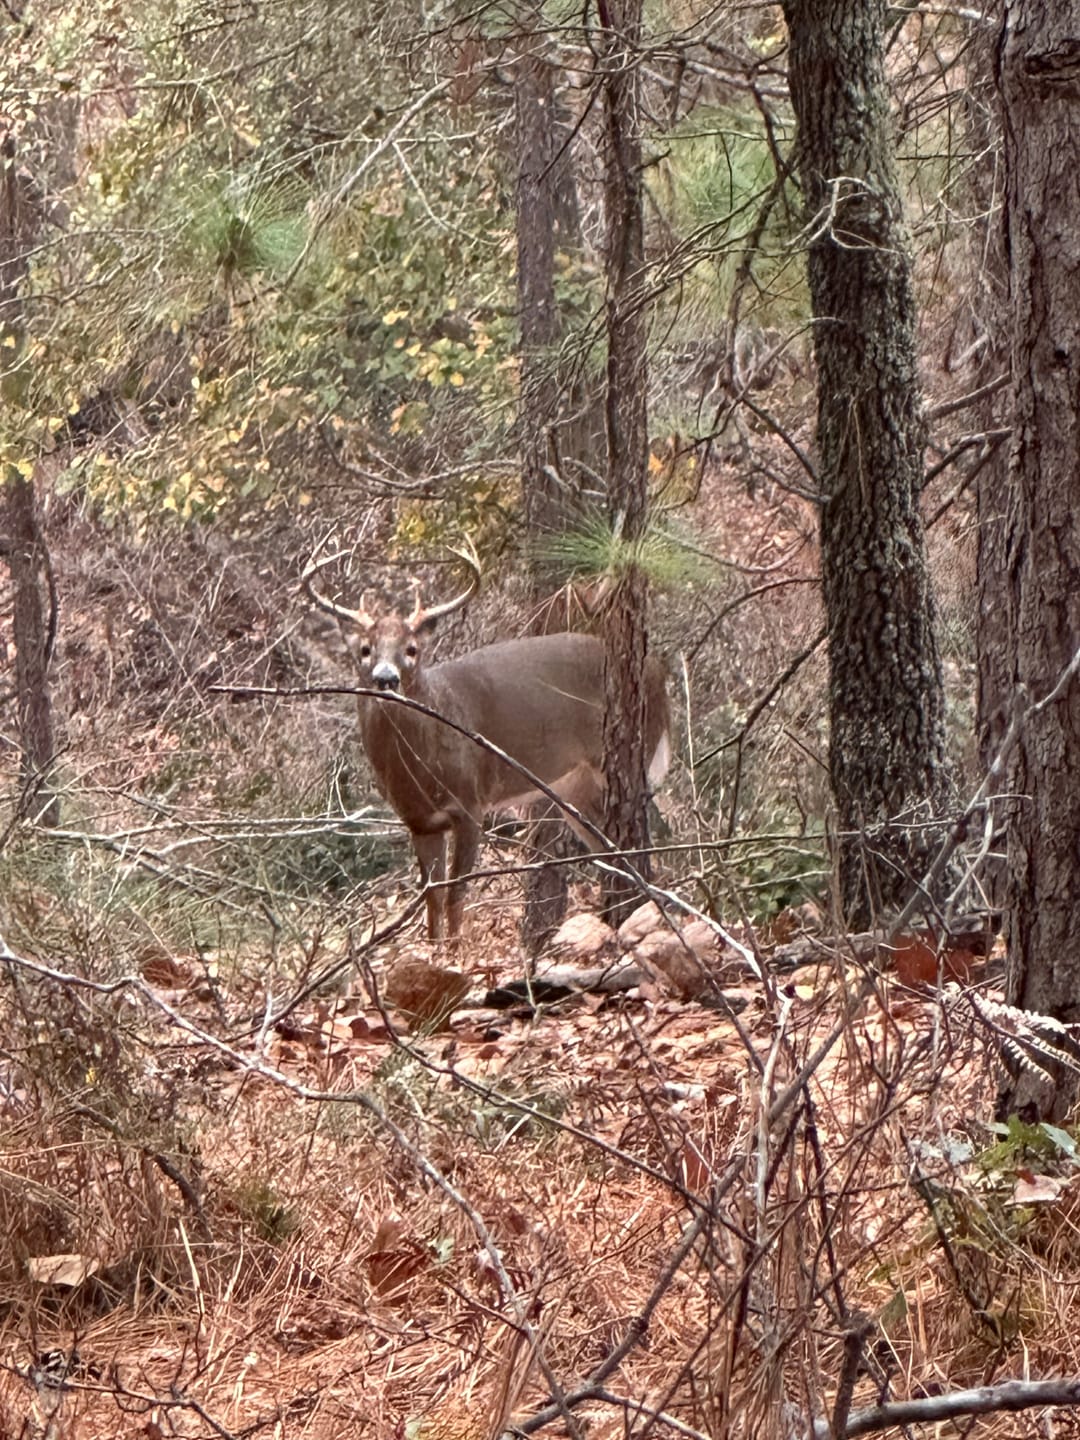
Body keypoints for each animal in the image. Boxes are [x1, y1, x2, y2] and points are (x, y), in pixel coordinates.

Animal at [304, 545, 671, 941]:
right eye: (365, 649)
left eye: (412, 649)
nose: (386, 679)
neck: (419, 768)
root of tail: (657, 672)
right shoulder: (419, 821)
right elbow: (432, 899)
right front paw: (434, 947)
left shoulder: (470, 802)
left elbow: (456, 893)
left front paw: (454, 949)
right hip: (573, 786)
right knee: (609, 849)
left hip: (629, 752)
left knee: (647, 837)